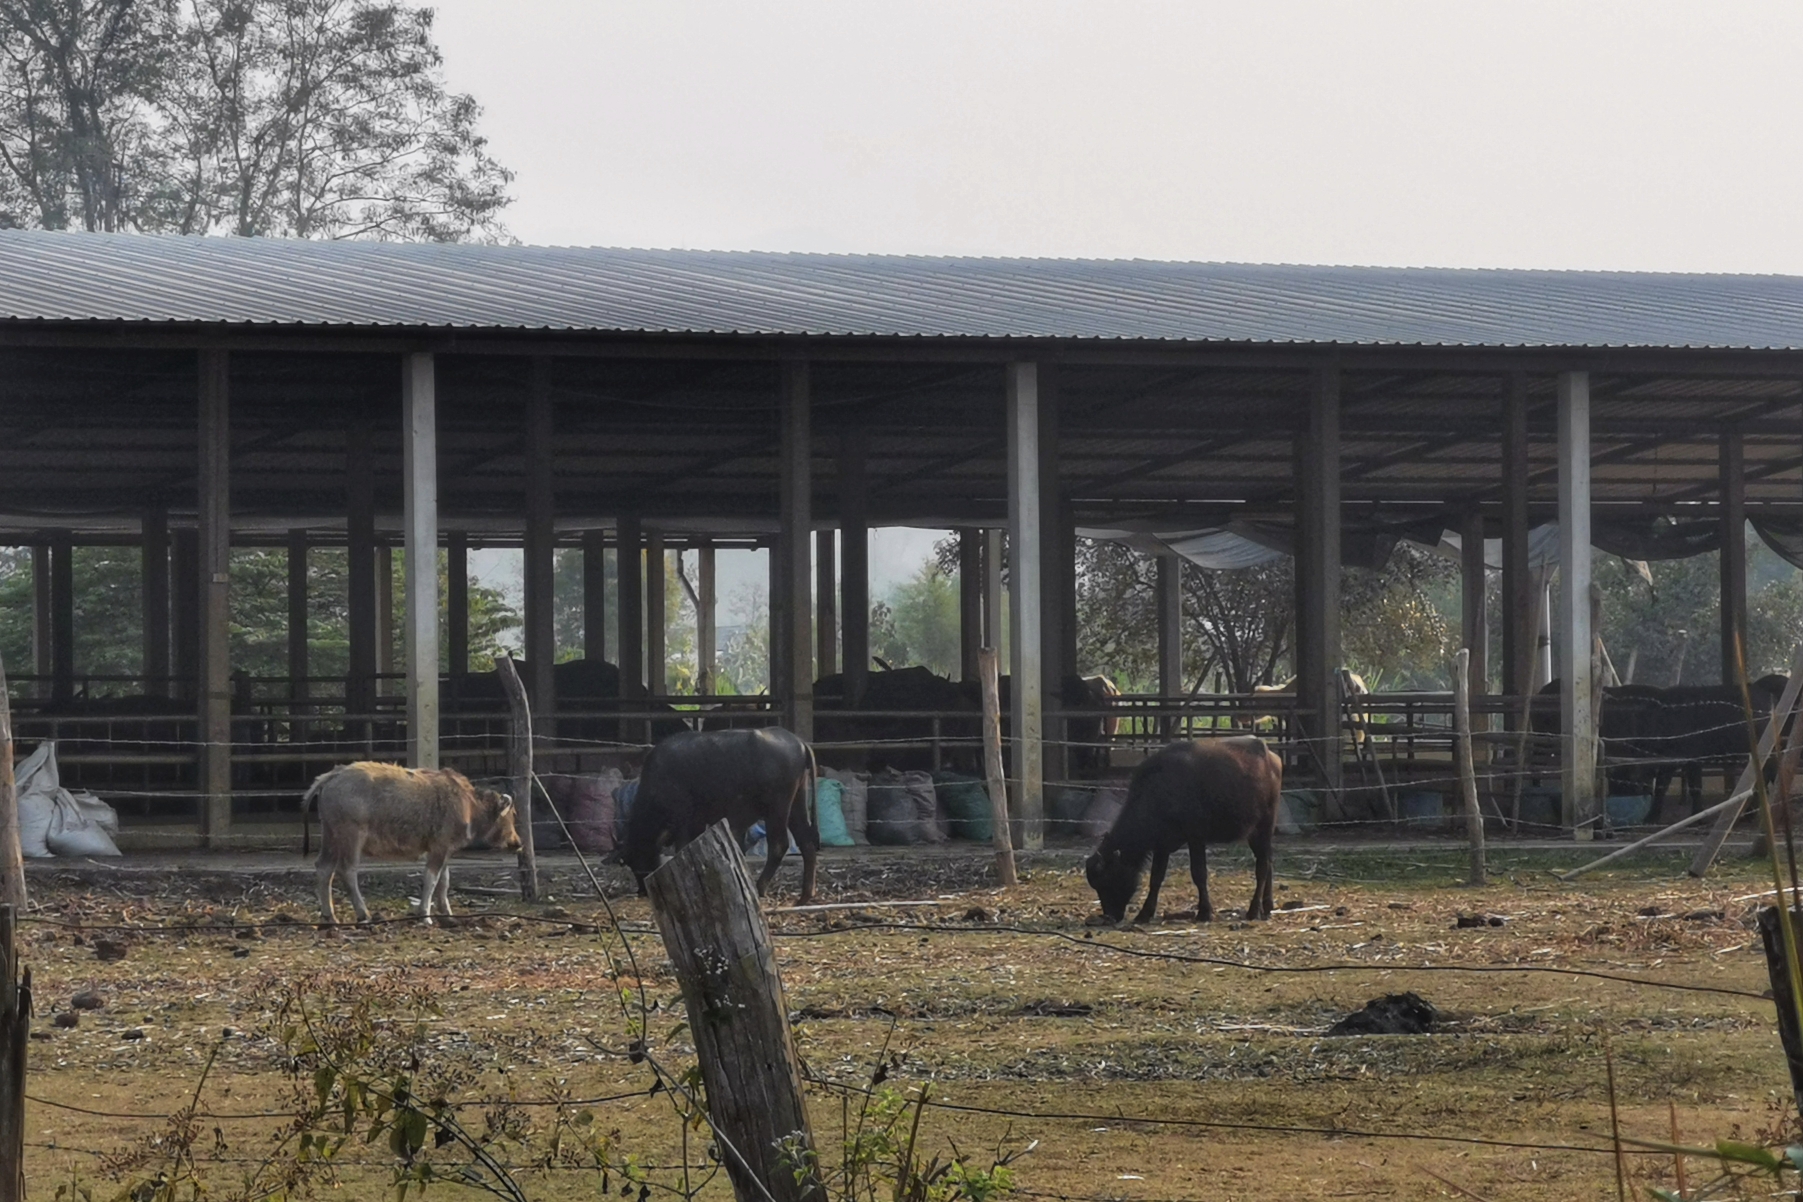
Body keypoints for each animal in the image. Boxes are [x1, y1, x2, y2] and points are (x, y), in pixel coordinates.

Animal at [306, 767, 519, 929]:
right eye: (512, 814)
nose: (517, 842)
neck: (468, 805)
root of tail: (333, 775)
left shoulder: (443, 849)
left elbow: (444, 881)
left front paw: (447, 915)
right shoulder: (439, 847)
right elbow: (432, 880)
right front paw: (425, 916)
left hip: (330, 834)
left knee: (324, 867)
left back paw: (329, 917)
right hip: (351, 835)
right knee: (347, 869)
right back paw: (363, 914)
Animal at [620, 724, 818, 901]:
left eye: (636, 856)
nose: (642, 890)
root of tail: (799, 742)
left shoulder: (684, 820)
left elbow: (682, 846)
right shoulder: (697, 821)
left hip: (777, 809)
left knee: (779, 845)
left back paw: (760, 887)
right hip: (796, 803)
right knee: (807, 842)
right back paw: (805, 896)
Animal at [1081, 738, 1283, 929]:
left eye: (1107, 879)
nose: (1110, 916)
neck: (1160, 791)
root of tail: (1272, 757)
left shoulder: (1196, 838)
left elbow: (1199, 873)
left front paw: (1204, 912)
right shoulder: (1162, 845)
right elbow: (1156, 878)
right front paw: (1144, 914)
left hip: (1264, 826)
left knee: (1262, 866)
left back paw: (1253, 910)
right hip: (1255, 834)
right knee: (1269, 861)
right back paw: (1267, 906)